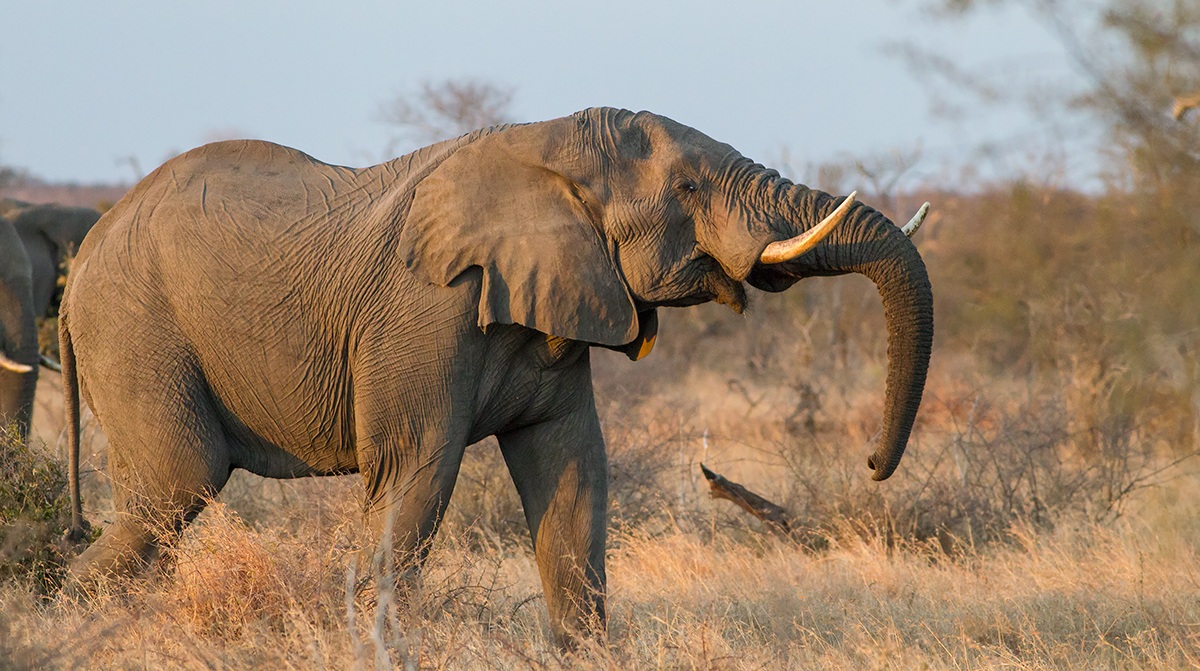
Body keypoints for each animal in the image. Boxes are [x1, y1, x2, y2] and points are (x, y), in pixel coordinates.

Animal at [60, 108, 933, 643]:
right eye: (687, 188)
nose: (872, 463)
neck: (547, 146)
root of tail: (82, 259)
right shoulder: (424, 311)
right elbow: (414, 475)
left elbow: (572, 471)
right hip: (135, 329)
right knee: (178, 482)